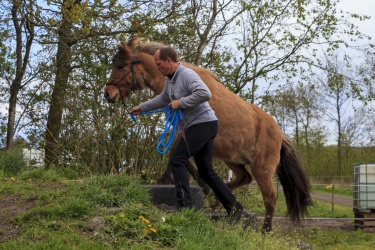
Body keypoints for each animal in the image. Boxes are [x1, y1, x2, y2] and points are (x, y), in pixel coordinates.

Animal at [104, 37, 312, 232]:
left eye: (121, 65)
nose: (108, 93)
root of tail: (279, 134)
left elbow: (176, 155)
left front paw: (193, 185)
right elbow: (179, 157)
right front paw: (188, 184)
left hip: (262, 168)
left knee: (270, 198)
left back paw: (265, 230)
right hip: (232, 159)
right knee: (244, 178)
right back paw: (219, 201)